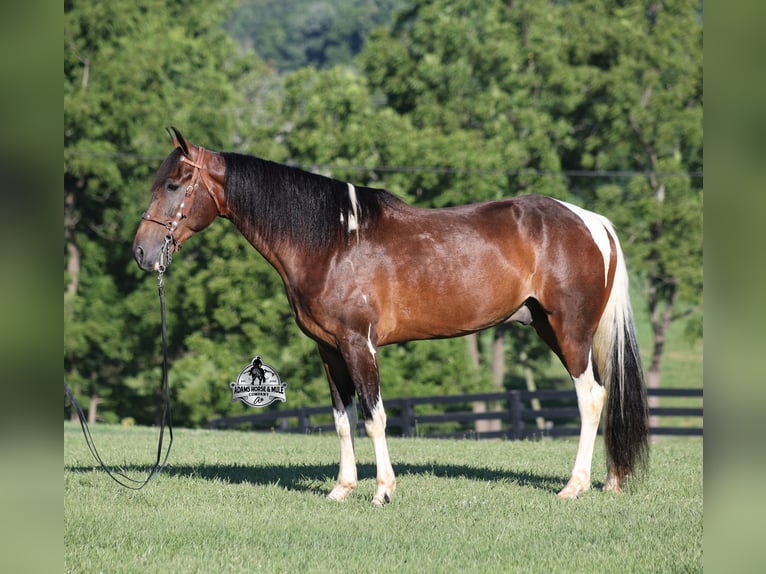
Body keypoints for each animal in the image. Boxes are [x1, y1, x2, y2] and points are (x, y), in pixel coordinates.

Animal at [133, 127, 648, 506]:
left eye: (174, 185)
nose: (142, 252)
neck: (332, 241)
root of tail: (592, 221)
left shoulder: (359, 345)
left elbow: (374, 415)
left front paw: (382, 490)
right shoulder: (329, 350)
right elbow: (343, 419)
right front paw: (341, 489)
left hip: (569, 331)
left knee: (591, 398)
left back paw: (574, 487)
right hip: (553, 329)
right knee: (603, 394)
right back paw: (610, 481)